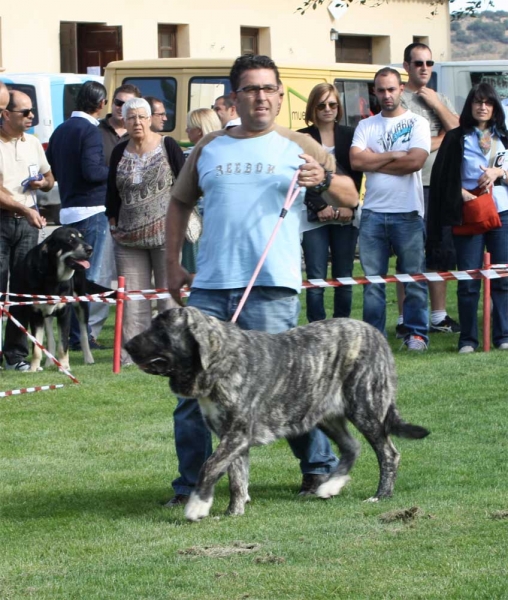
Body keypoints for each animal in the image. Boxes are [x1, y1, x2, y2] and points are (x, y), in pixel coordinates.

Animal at [10, 229, 106, 372]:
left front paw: (64, 366)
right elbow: (37, 347)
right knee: (50, 339)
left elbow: (63, 344)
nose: (90, 249)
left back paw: (88, 359)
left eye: (82, 238)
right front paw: (33, 368)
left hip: (81, 304)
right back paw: (50, 362)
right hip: (47, 315)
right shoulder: (36, 314)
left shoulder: (64, 313)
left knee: (83, 334)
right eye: (70, 240)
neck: (52, 276)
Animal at [125, 308, 430, 524]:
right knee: (351, 446)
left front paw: (198, 505)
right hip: (323, 412)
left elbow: (209, 466)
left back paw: (380, 496)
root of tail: (375, 333)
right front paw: (234, 511)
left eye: (160, 330)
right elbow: (236, 477)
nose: (127, 345)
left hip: (365, 407)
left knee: (388, 453)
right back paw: (331, 486)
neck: (219, 360)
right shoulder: (232, 438)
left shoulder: (236, 435)